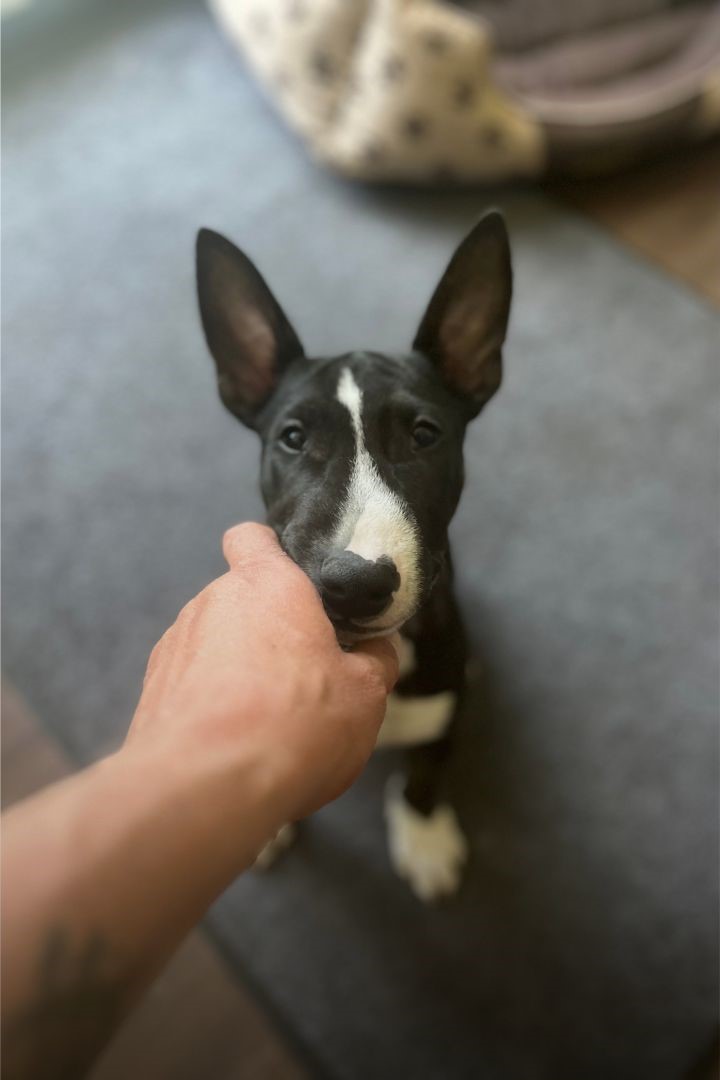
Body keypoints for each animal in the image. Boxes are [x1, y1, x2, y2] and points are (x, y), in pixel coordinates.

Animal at [195, 212, 511, 902]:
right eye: (291, 437)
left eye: (425, 434)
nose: (354, 583)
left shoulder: (441, 705)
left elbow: (427, 769)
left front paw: (425, 838)